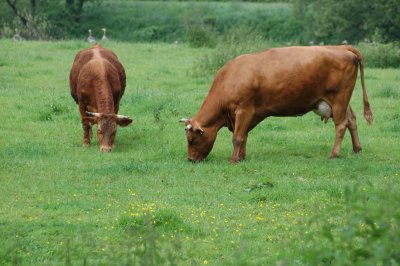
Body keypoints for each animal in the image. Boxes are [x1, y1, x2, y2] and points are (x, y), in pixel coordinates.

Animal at [180, 45, 374, 163]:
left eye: (191, 140)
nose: (191, 160)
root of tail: (341, 47)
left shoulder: (244, 110)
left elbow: (237, 137)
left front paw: (234, 160)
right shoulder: (246, 116)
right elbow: (244, 136)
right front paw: (242, 157)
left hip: (339, 99)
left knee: (341, 125)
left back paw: (334, 154)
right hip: (341, 102)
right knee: (352, 120)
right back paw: (356, 149)